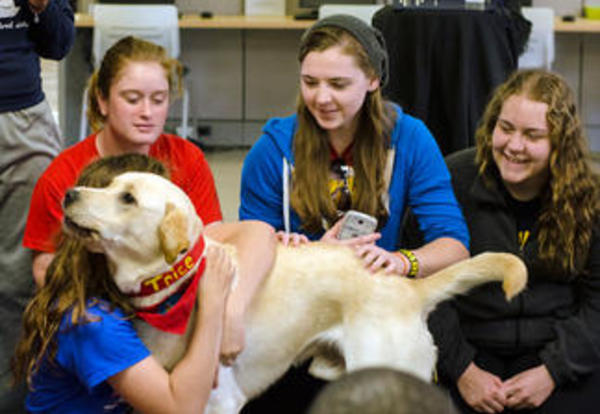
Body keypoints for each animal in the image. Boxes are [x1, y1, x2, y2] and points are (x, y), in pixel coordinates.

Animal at [63, 172, 528, 414]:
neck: (177, 283)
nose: (70, 193)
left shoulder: (218, 402)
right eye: (109, 184)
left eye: (127, 198)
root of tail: (409, 287)